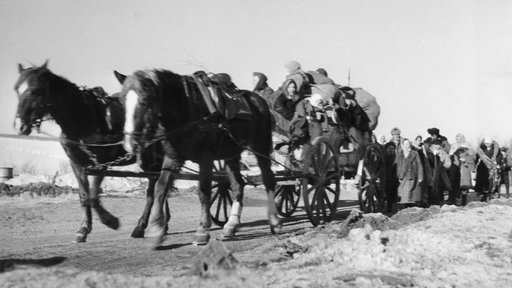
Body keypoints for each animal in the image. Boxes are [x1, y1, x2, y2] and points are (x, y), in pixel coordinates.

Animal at [13, 60, 170, 243]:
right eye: (17, 89)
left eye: (36, 91)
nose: (20, 125)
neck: (83, 117)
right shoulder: (77, 163)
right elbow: (84, 195)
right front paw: (83, 229)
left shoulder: (101, 163)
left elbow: (94, 196)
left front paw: (110, 221)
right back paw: (163, 223)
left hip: (152, 160)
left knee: (153, 191)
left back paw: (141, 227)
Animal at [114, 68, 282, 246]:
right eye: (122, 101)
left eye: (145, 100)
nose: (129, 143)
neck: (186, 109)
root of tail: (259, 100)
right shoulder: (172, 159)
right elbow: (160, 188)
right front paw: (157, 228)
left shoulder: (205, 159)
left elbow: (203, 192)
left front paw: (202, 230)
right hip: (231, 154)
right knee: (238, 185)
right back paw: (231, 226)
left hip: (261, 146)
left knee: (268, 180)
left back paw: (274, 221)